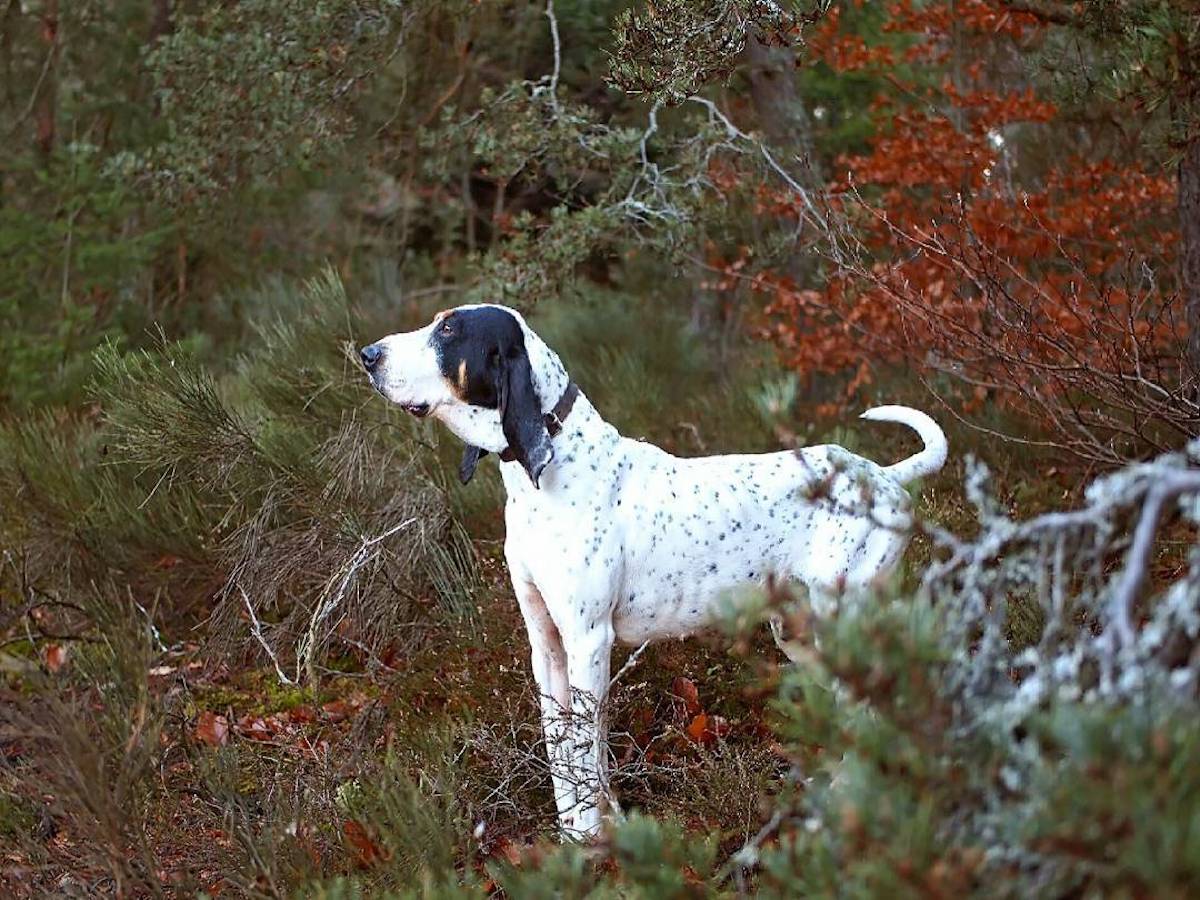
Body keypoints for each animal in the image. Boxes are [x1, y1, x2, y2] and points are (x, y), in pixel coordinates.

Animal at [357, 303, 945, 840]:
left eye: (449, 329)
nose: (367, 354)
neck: (547, 476)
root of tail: (885, 478)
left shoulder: (589, 641)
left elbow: (584, 748)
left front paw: (592, 837)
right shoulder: (547, 646)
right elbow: (563, 753)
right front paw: (578, 837)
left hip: (840, 621)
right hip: (799, 632)